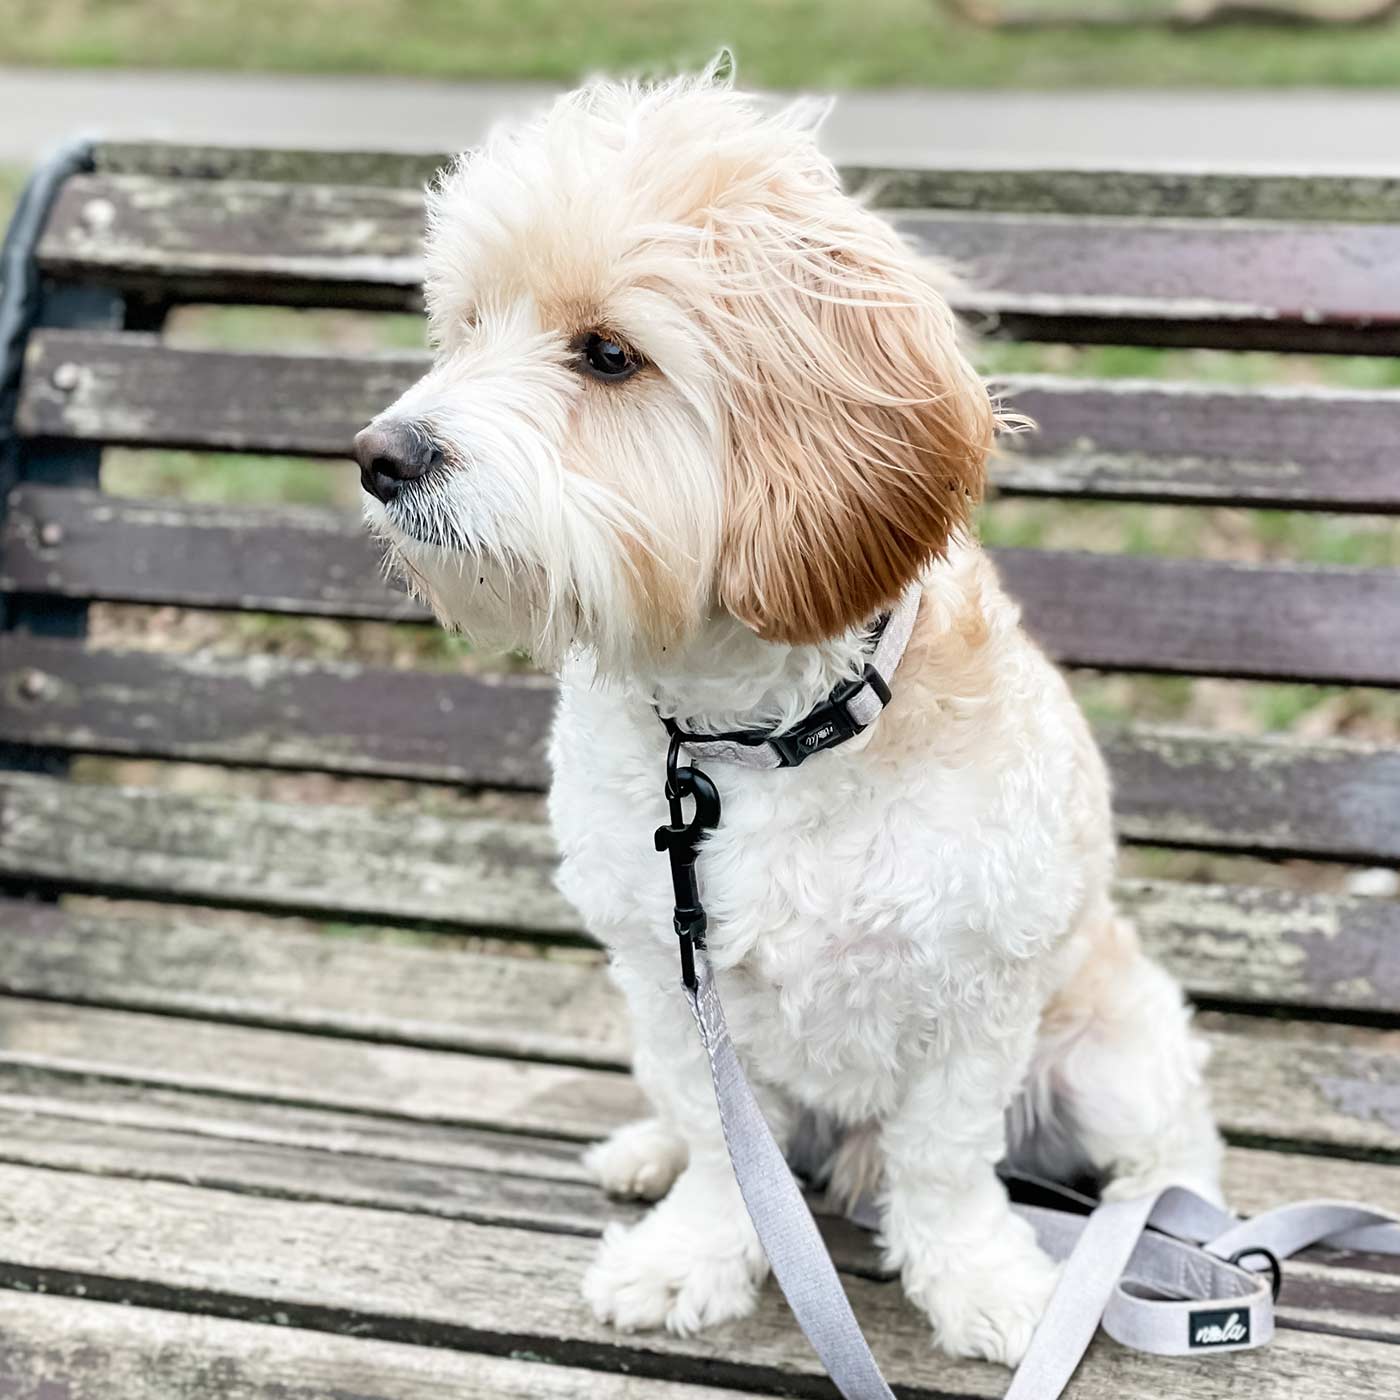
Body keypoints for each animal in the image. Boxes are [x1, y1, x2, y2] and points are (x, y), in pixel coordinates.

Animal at [355, 62, 1223, 1367]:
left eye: (607, 354)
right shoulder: (667, 975)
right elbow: (722, 1147)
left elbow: (944, 1159)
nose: (379, 453)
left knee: (1166, 1143)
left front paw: (979, 1280)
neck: (752, 740)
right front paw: (690, 1253)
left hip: (1115, 1052)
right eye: (463, 327)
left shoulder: (979, 989)